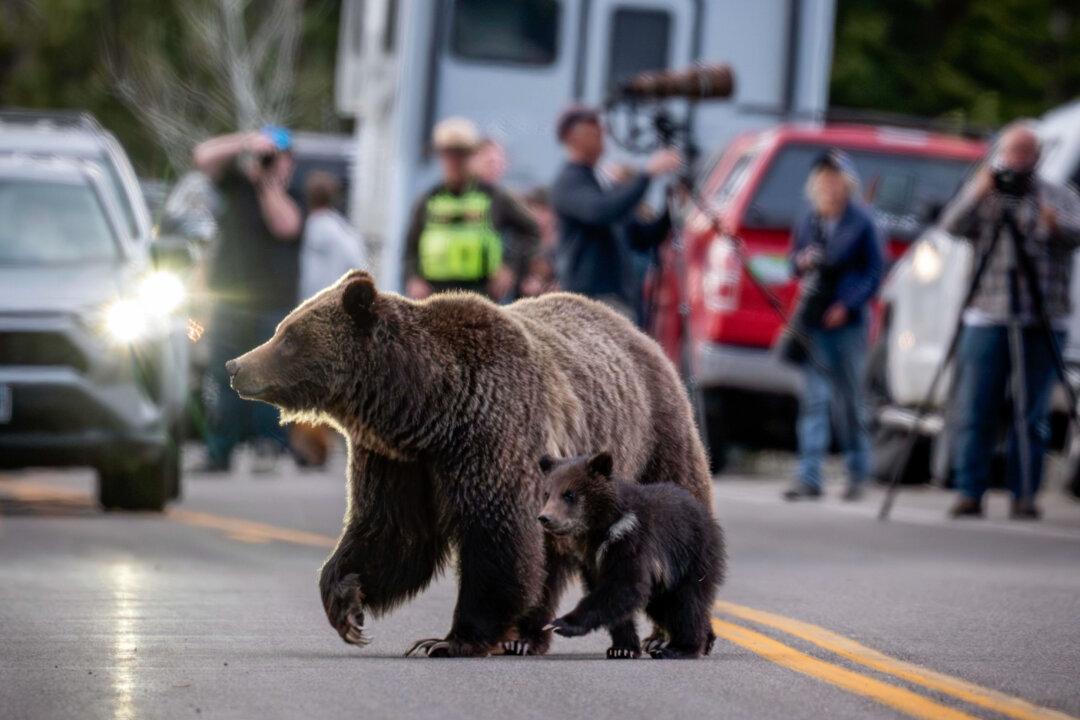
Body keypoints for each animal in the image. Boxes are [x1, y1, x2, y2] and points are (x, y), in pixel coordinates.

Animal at [538, 451, 724, 659]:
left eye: (569, 494)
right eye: (546, 493)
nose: (545, 518)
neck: (599, 530)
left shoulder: (631, 542)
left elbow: (625, 585)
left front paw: (559, 624)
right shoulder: (590, 560)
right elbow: (610, 594)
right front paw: (622, 648)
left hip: (692, 557)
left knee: (687, 603)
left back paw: (680, 647)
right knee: (664, 605)